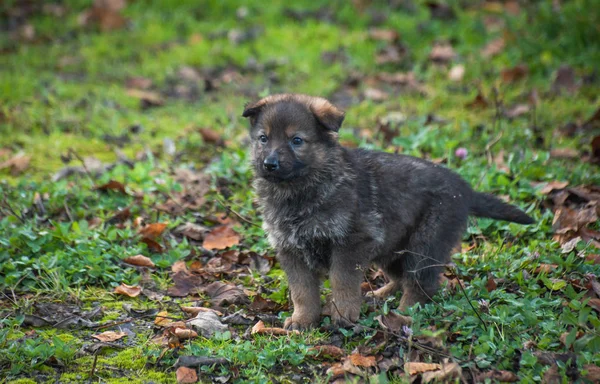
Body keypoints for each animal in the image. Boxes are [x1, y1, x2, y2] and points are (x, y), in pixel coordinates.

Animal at [241, 94, 532, 330]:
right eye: (263, 138)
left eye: (297, 140)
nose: (270, 164)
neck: (299, 190)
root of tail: (465, 190)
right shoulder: (291, 248)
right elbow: (302, 291)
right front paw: (303, 320)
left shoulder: (351, 241)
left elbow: (342, 282)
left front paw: (343, 314)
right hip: (392, 244)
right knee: (401, 276)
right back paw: (381, 294)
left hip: (425, 243)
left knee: (421, 284)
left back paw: (403, 315)